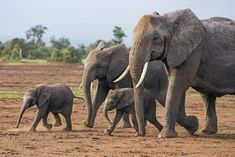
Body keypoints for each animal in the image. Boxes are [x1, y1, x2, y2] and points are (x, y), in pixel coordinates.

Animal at [123, 8, 235, 137]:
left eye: (155, 38)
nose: (140, 134)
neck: (168, 20)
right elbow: (176, 85)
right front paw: (193, 125)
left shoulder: (193, 50)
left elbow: (178, 84)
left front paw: (165, 136)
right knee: (207, 95)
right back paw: (207, 132)